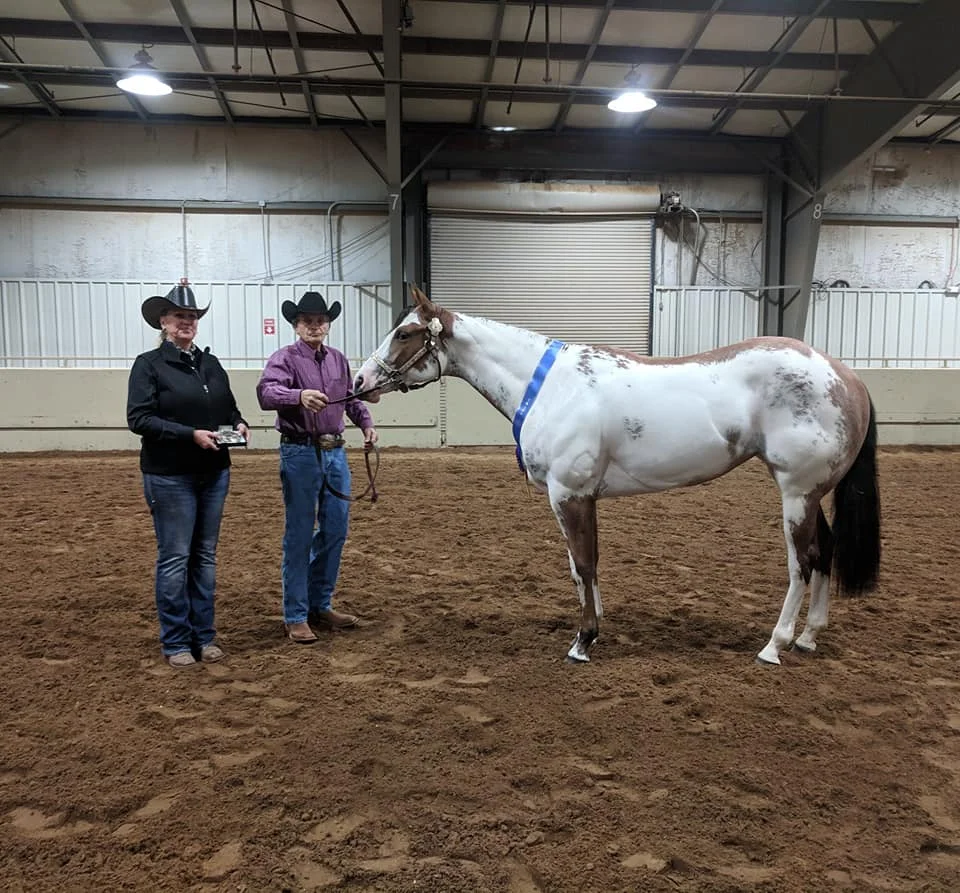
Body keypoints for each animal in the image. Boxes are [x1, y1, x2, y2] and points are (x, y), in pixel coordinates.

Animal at [353, 287, 881, 666]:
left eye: (405, 332)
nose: (360, 381)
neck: (551, 387)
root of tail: (847, 378)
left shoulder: (570, 494)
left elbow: (585, 563)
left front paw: (583, 641)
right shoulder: (576, 497)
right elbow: (579, 567)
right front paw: (596, 621)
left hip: (796, 492)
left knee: (802, 562)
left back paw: (776, 644)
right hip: (812, 495)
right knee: (826, 552)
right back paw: (809, 637)